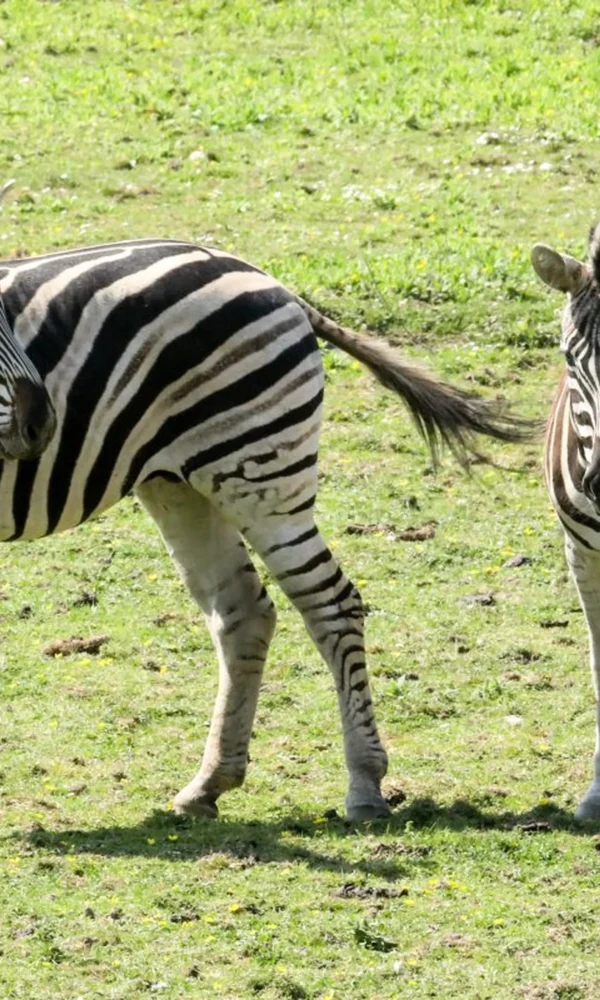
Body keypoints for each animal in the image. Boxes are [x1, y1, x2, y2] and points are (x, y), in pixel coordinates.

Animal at [1, 238, 531, 820]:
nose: (39, 424)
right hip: (178, 482)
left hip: (260, 475)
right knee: (244, 611)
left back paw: (364, 785)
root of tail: (270, 280)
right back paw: (210, 782)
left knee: (331, 603)